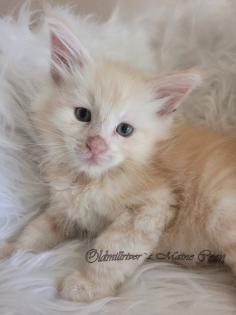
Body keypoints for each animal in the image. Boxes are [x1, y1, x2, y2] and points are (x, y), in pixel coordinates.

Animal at [1, 15, 236, 304]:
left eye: (124, 130)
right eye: (82, 114)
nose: (96, 146)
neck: (88, 181)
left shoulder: (151, 207)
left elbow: (112, 252)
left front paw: (86, 287)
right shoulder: (63, 210)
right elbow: (36, 231)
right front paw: (12, 251)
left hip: (221, 214)